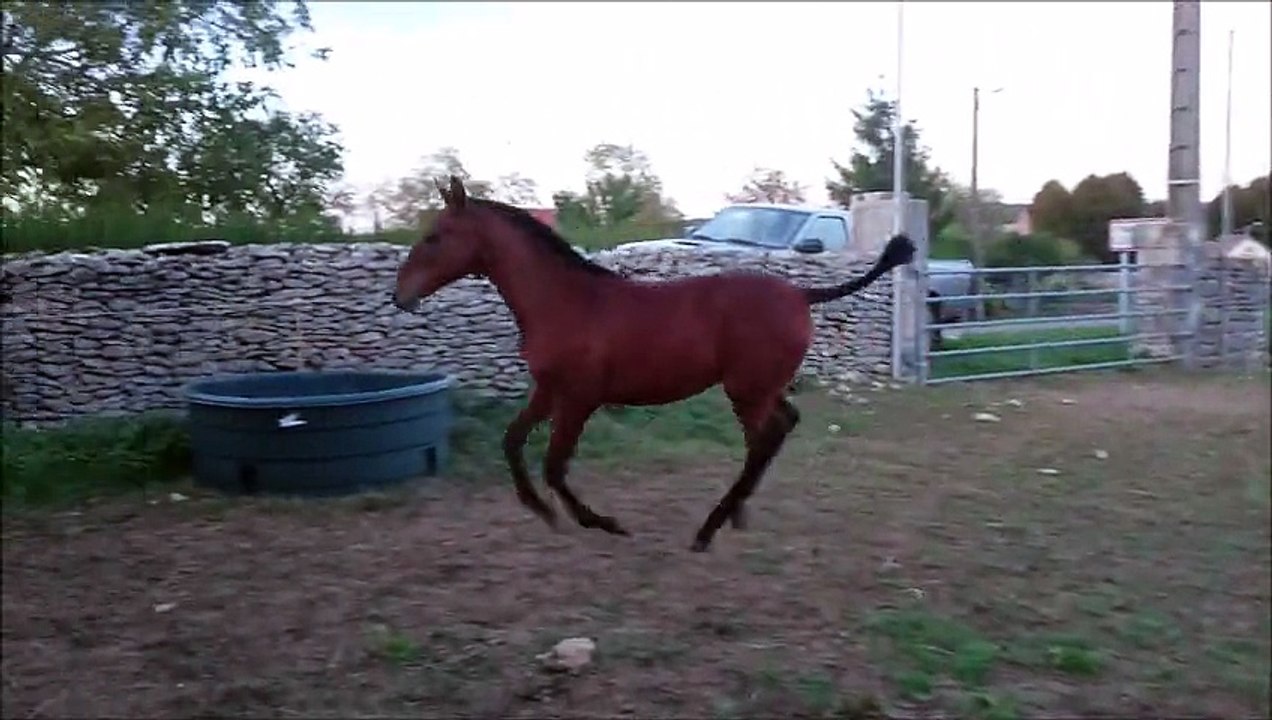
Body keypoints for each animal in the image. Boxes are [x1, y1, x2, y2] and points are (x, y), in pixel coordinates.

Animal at [393, 176, 915, 552]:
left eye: (435, 237)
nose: (400, 296)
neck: (565, 302)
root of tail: (801, 295)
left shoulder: (579, 399)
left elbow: (555, 465)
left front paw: (602, 523)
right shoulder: (548, 390)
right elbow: (512, 441)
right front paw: (543, 513)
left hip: (745, 391)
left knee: (765, 439)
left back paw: (709, 528)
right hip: (759, 389)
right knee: (776, 430)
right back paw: (735, 514)